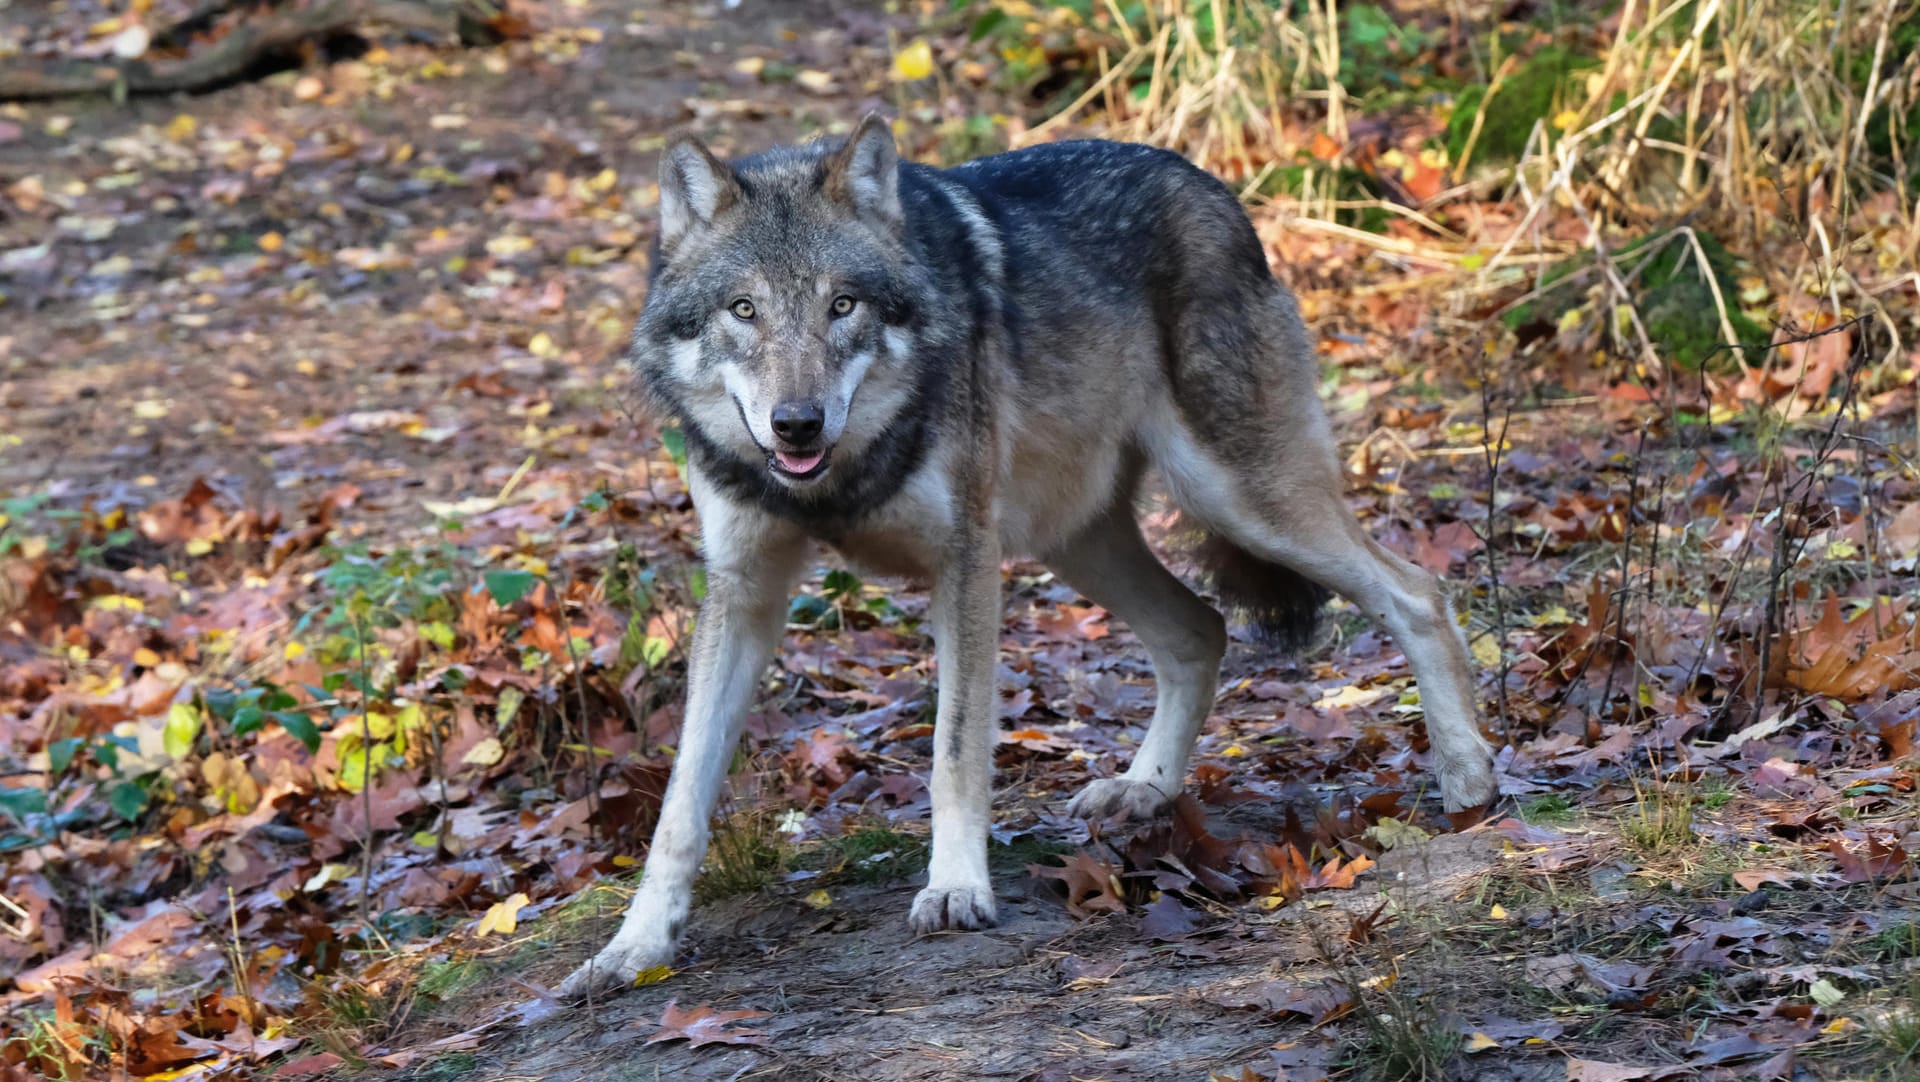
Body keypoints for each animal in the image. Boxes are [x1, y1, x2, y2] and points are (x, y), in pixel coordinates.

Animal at [556, 116, 1497, 997]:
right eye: (743, 309)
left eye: (843, 305)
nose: (797, 424)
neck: (835, 482)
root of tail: (1207, 184)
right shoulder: (744, 590)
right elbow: (680, 803)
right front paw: (632, 948)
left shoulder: (965, 564)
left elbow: (954, 753)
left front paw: (955, 889)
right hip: (1077, 538)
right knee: (1199, 628)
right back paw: (1146, 789)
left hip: (1240, 500)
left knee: (1417, 591)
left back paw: (1469, 781)